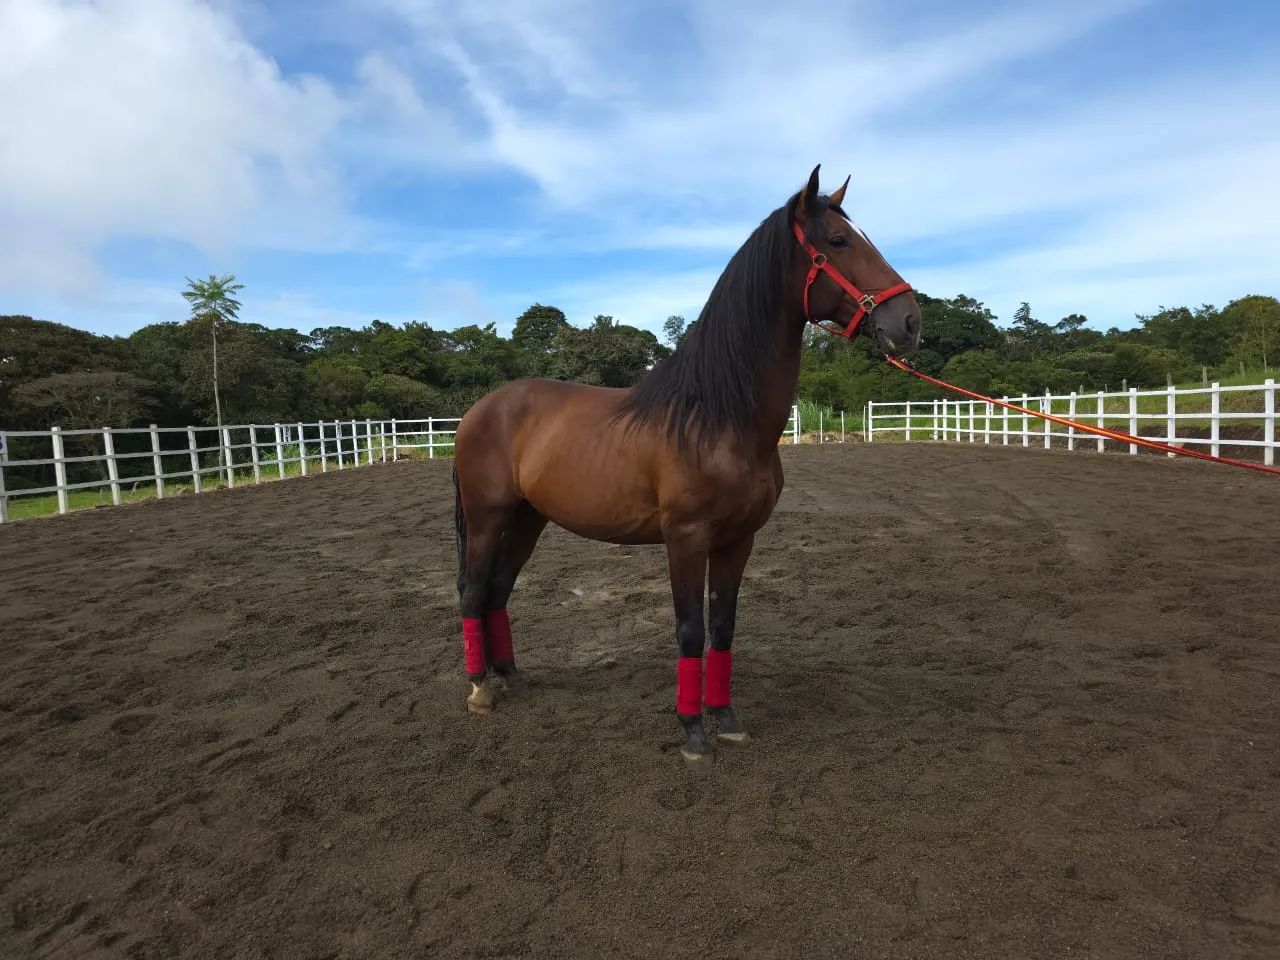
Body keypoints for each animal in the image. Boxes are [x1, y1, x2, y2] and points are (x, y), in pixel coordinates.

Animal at [451, 164, 922, 770]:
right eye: (839, 241)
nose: (909, 321)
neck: (718, 418)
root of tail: (479, 410)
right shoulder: (686, 537)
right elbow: (690, 629)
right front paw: (692, 731)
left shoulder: (738, 540)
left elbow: (722, 627)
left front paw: (727, 719)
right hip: (487, 517)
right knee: (472, 591)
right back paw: (480, 688)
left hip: (529, 519)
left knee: (498, 590)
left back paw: (509, 676)